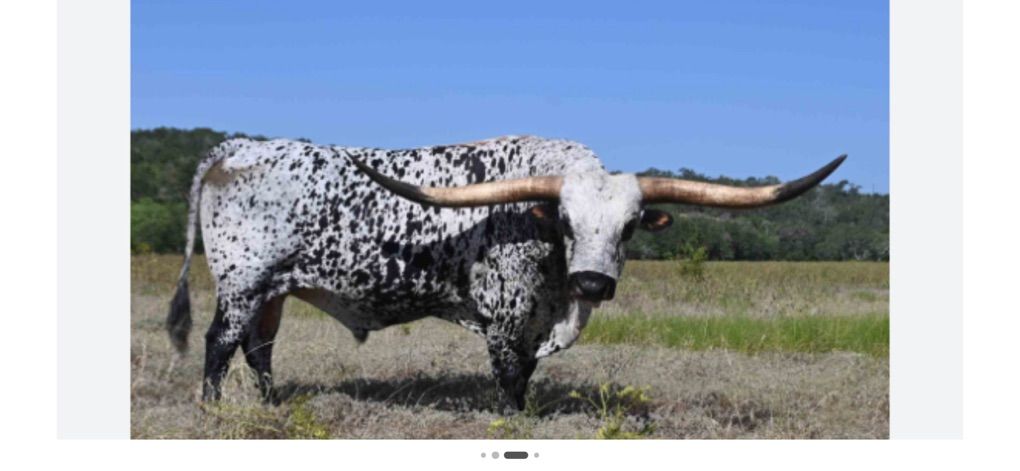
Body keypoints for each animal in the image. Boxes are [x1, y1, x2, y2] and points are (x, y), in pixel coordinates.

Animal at [166, 135, 845, 411]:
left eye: (629, 227)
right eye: (565, 219)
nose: (593, 284)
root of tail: (239, 146)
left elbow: (531, 373)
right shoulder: (504, 318)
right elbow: (512, 380)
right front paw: (515, 419)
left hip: (274, 290)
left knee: (260, 348)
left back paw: (273, 404)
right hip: (242, 283)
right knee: (220, 344)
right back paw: (214, 409)